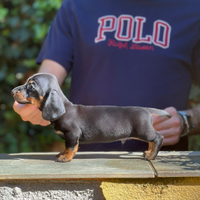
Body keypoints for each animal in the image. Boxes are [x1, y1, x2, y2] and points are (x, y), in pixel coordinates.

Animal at [11, 73, 170, 162]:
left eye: (31, 87)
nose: (12, 91)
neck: (65, 109)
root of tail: (146, 109)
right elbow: (67, 147)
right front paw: (62, 153)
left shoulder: (72, 134)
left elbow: (70, 147)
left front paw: (66, 157)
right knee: (152, 141)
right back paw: (148, 152)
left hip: (143, 131)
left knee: (158, 137)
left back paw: (151, 155)